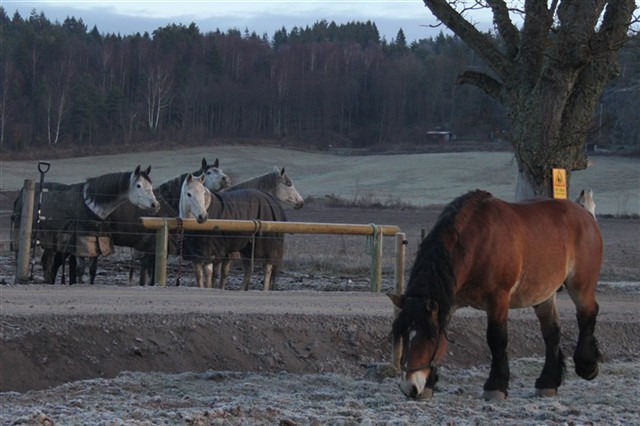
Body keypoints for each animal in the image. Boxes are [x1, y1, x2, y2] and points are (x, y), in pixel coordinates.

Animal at [388, 191, 604, 402]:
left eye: (429, 337)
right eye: (403, 334)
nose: (409, 387)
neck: (478, 243)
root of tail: (585, 214)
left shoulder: (498, 298)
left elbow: (496, 338)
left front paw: (496, 386)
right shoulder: (449, 302)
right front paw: (430, 384)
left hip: (580, 286)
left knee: (587, 315)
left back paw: (587, 366)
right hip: (545, 294)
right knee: (551, 332)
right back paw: (547, 382)